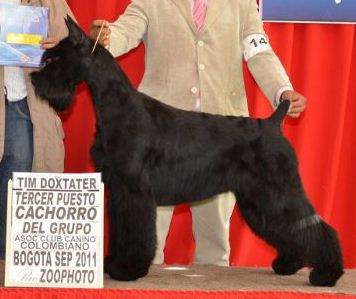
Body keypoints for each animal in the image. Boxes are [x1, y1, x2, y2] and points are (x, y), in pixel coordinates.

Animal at [32, 17, 344, 288]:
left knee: (315, 226)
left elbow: (136, 231)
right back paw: (289, 263)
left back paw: (326, 274)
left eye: (57, 58)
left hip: (280, 191)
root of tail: (272, 123)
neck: (117, 106)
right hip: (258, 199)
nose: (35, 77)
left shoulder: (134, 191)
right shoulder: (118, 190)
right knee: (291, 228)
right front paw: (115, 263)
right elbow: (120, 230)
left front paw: (128, 269)